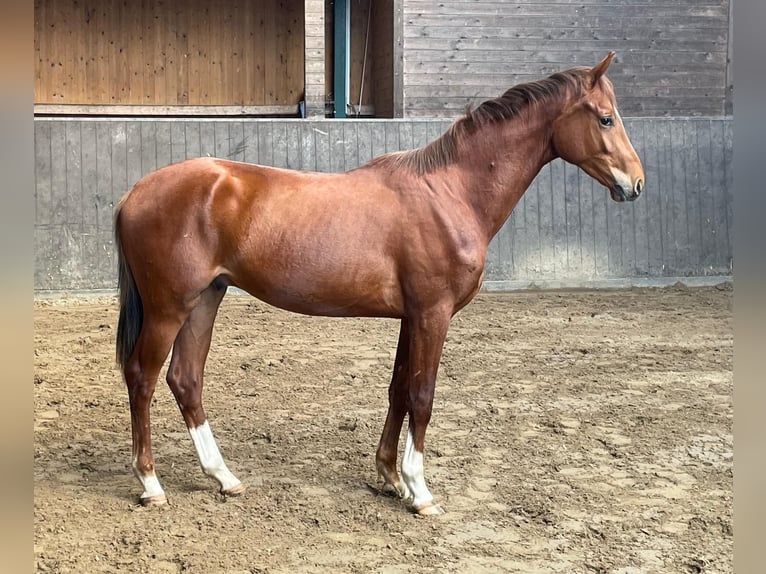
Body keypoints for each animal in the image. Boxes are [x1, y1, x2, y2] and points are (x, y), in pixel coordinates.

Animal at [114, 51, 640, 516]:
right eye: (605, 118)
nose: (635, 184)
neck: (448, 192)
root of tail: (135, 192)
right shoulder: (433, 314)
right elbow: (423, 396)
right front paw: (420, 491)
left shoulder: (413, 316)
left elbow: (399, 390)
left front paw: (390, 477)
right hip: (168, 309)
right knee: (142, 377)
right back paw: (151, 483)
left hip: (205, 300)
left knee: (186, 379)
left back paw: (223, 476)